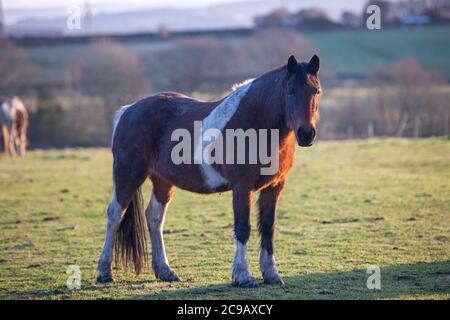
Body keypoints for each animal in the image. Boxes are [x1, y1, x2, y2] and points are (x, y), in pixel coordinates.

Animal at [96, 55, 322, 288]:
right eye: (290, 91)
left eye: (316, 91)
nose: (306, 134)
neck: (257, 123)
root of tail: (127, 111)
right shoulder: (242, 186)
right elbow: (243, 228)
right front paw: (243, 276)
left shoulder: (274, 187)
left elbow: (268, 227)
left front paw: (271, 274)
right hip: (128, 173)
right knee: (115, 214)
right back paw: (105, 272)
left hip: (162, 181)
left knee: (155, 217)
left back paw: (165, 271)